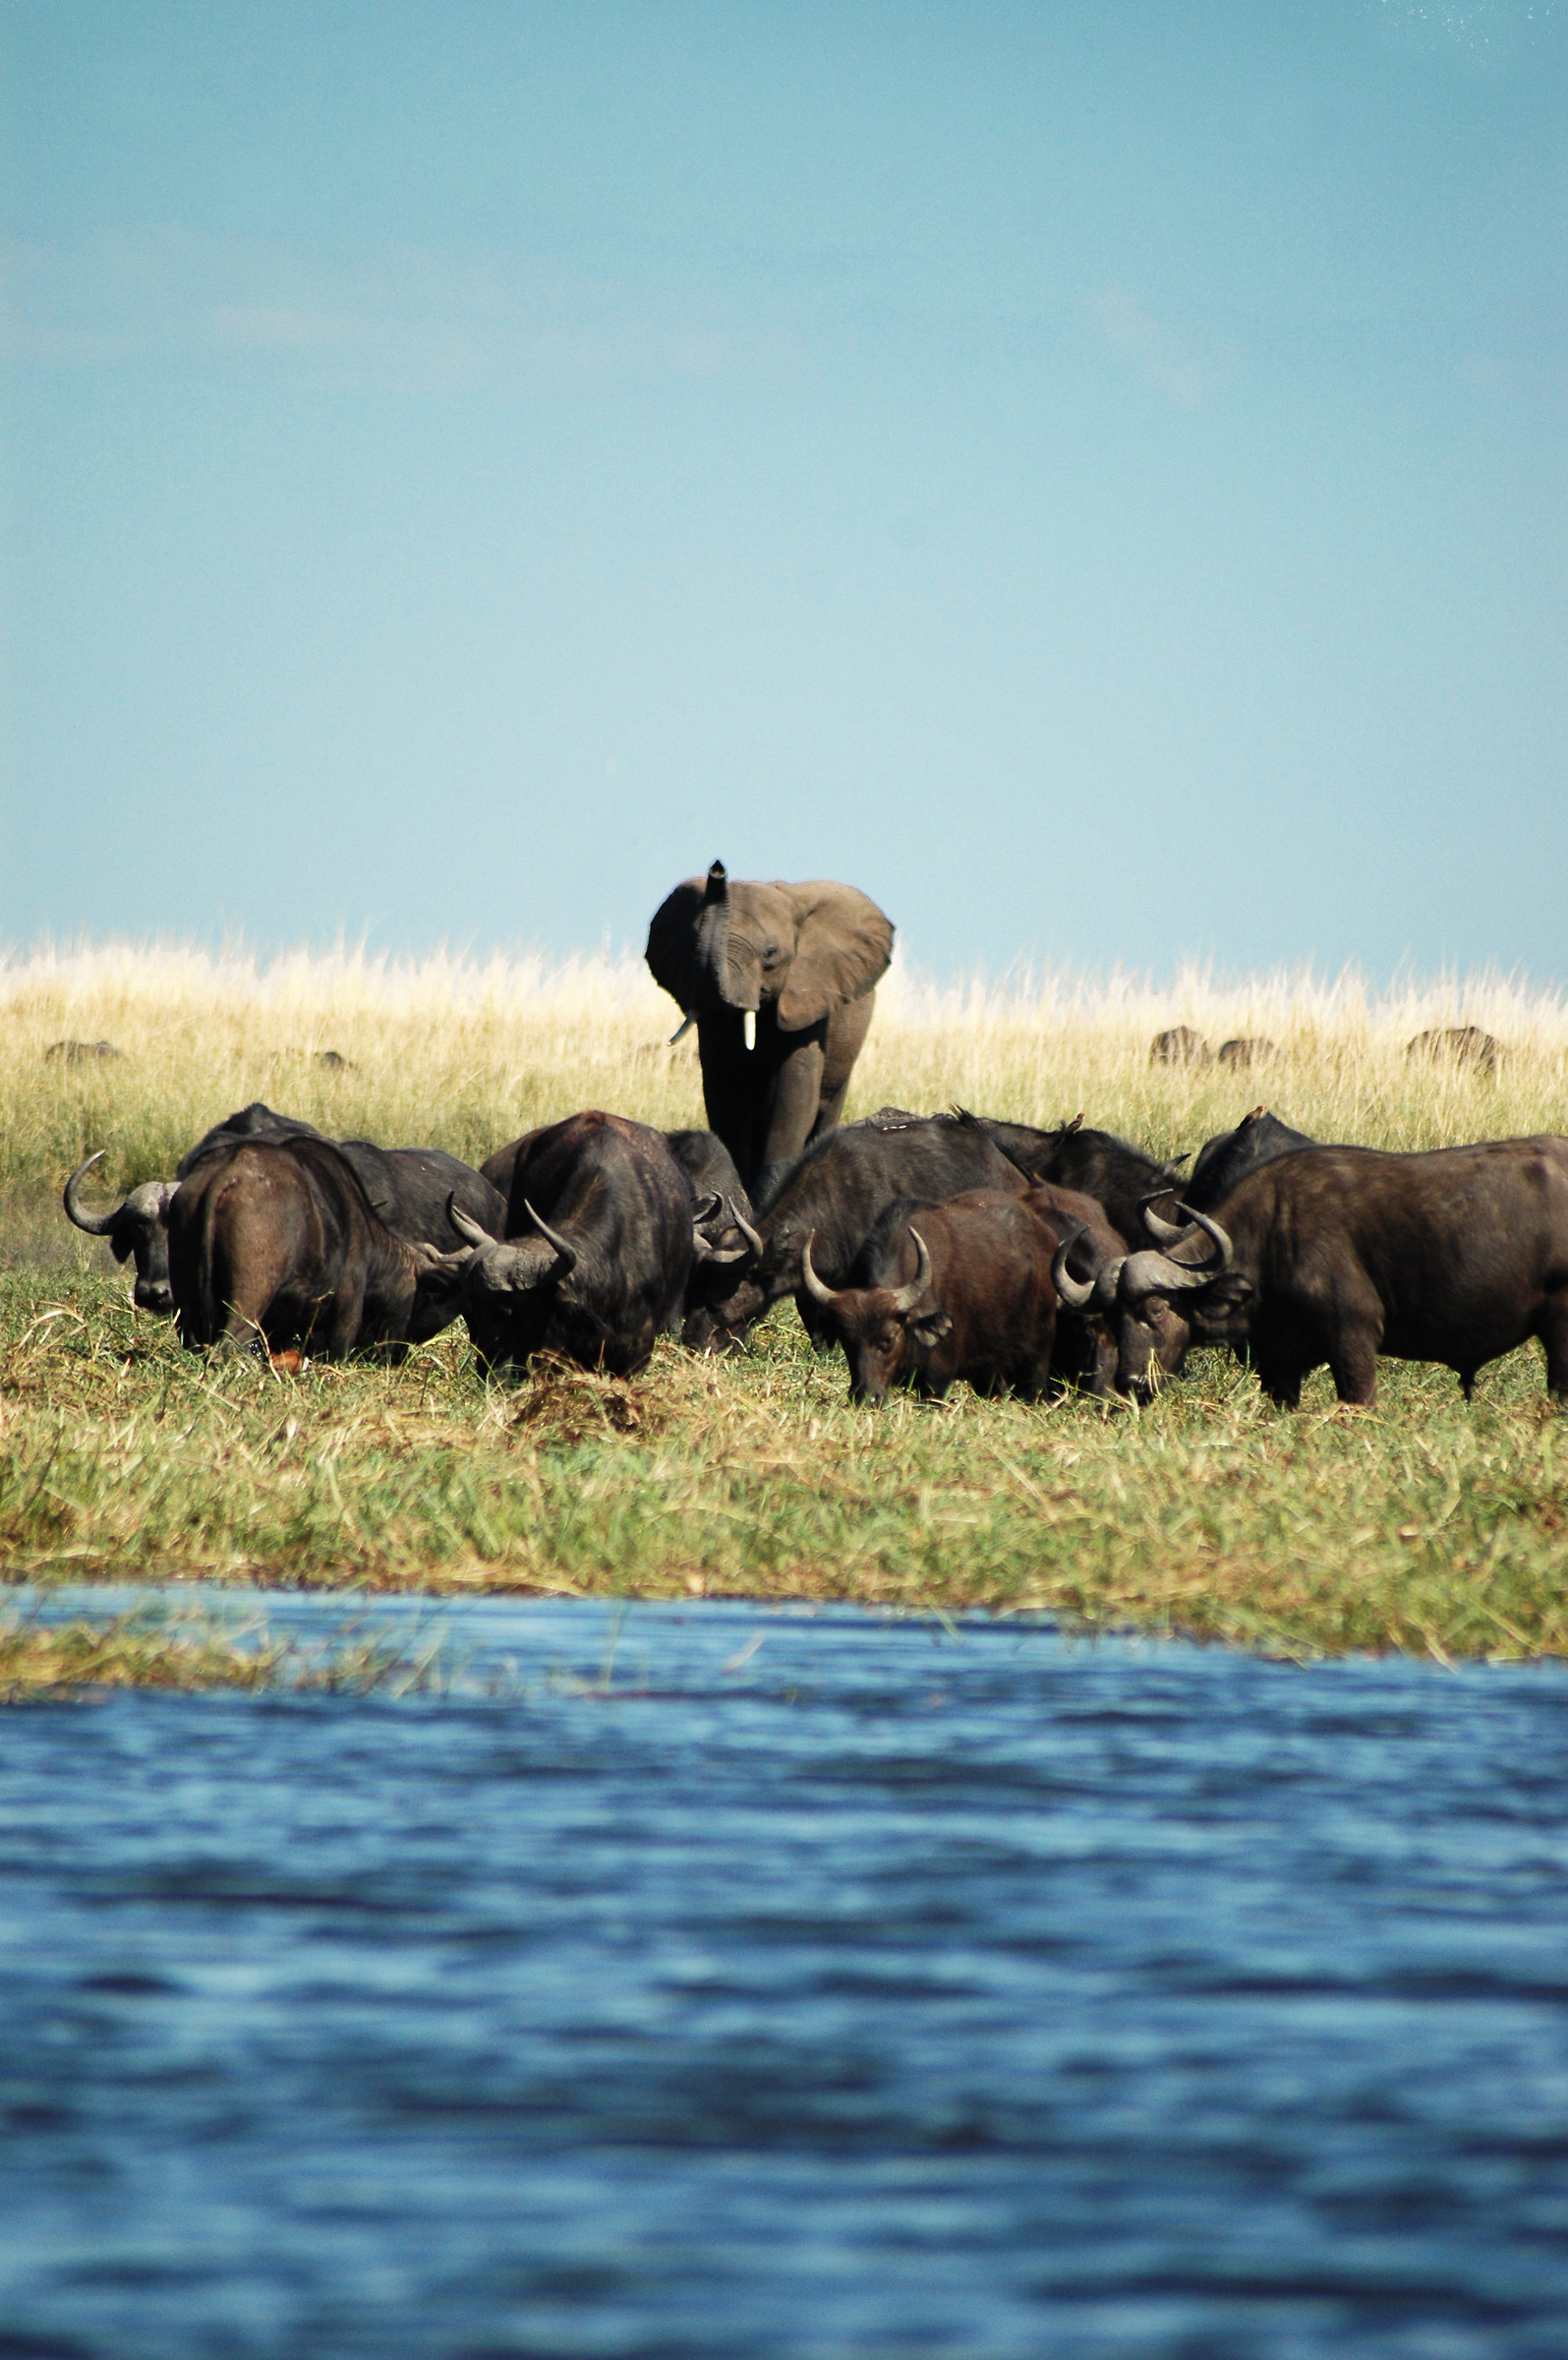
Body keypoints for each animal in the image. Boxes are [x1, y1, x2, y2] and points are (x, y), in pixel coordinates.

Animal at [646, 861, 895, 1207]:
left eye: (770, 953)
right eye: (693, 945)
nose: (717, 869)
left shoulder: (807, 994)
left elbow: (793, 1091)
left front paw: (765, 1198)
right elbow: (725, 1088)